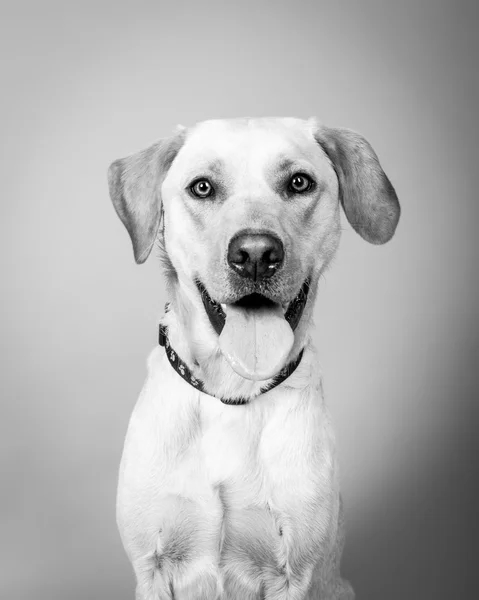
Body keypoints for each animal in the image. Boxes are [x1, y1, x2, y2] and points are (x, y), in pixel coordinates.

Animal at [108, 115, 402, 596]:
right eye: (202, 187)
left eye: (299, 182)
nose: (256, 254)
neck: (233, 393)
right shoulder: (151, 567)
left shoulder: (293, 572)